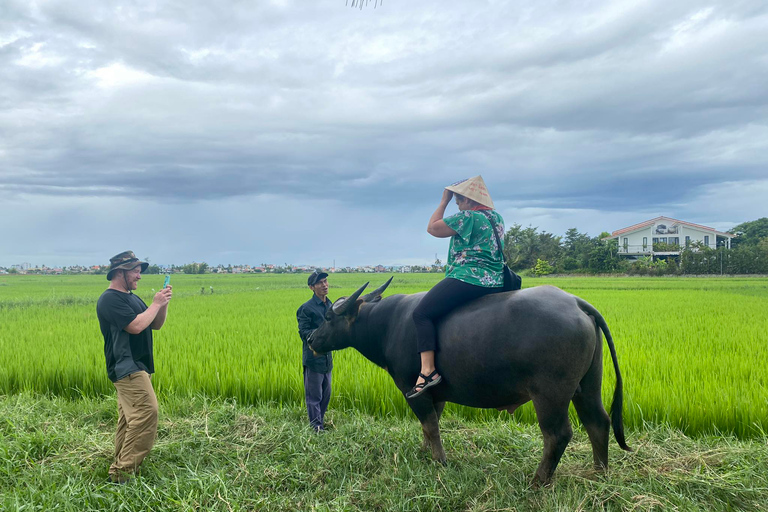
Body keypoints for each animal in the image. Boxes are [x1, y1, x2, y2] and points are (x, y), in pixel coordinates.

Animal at [308, 278, 632, 486]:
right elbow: (430, 425)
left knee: (558, 434)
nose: (310, 339)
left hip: (550, 393)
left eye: (328, 317)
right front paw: (425, 453)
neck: (387, 325)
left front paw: (440, 461)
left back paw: (538, 481)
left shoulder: (413, 389)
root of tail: (577, 303)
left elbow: (429, 424)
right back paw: (599, 474)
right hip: (587, 385)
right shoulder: (435, 393)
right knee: (597, 421)